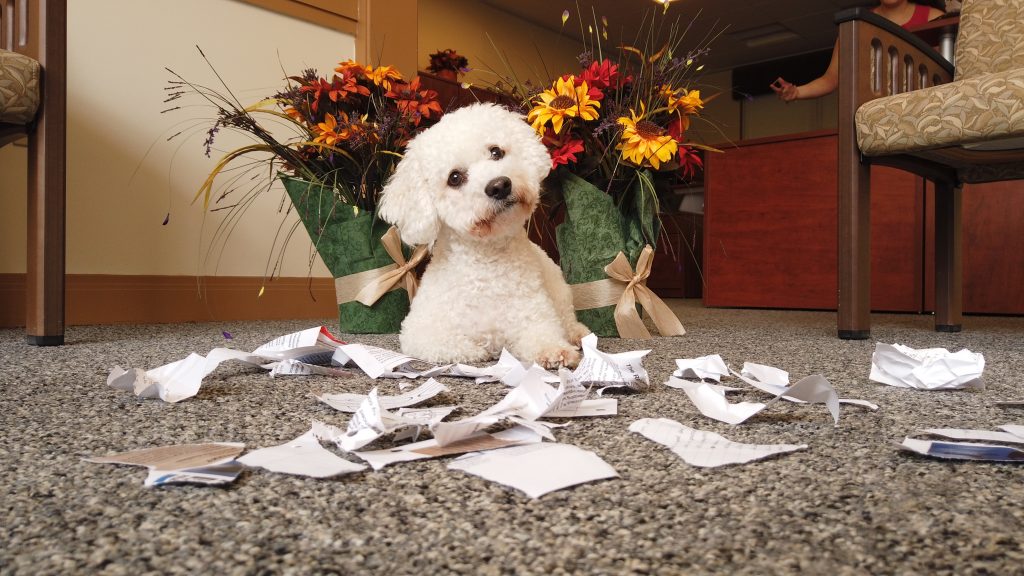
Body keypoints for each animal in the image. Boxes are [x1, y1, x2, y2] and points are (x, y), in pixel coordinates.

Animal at [378, 101, 589, 366]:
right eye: (454, 178)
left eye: (496, 152)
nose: (499, 185)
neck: (488, 266)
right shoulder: (420, 332)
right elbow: (453, 345)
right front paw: (478, 349)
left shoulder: (535, 317)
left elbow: (544, 336)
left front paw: (556, 352)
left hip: (559, 292)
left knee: (567, 320)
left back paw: (578, 334)